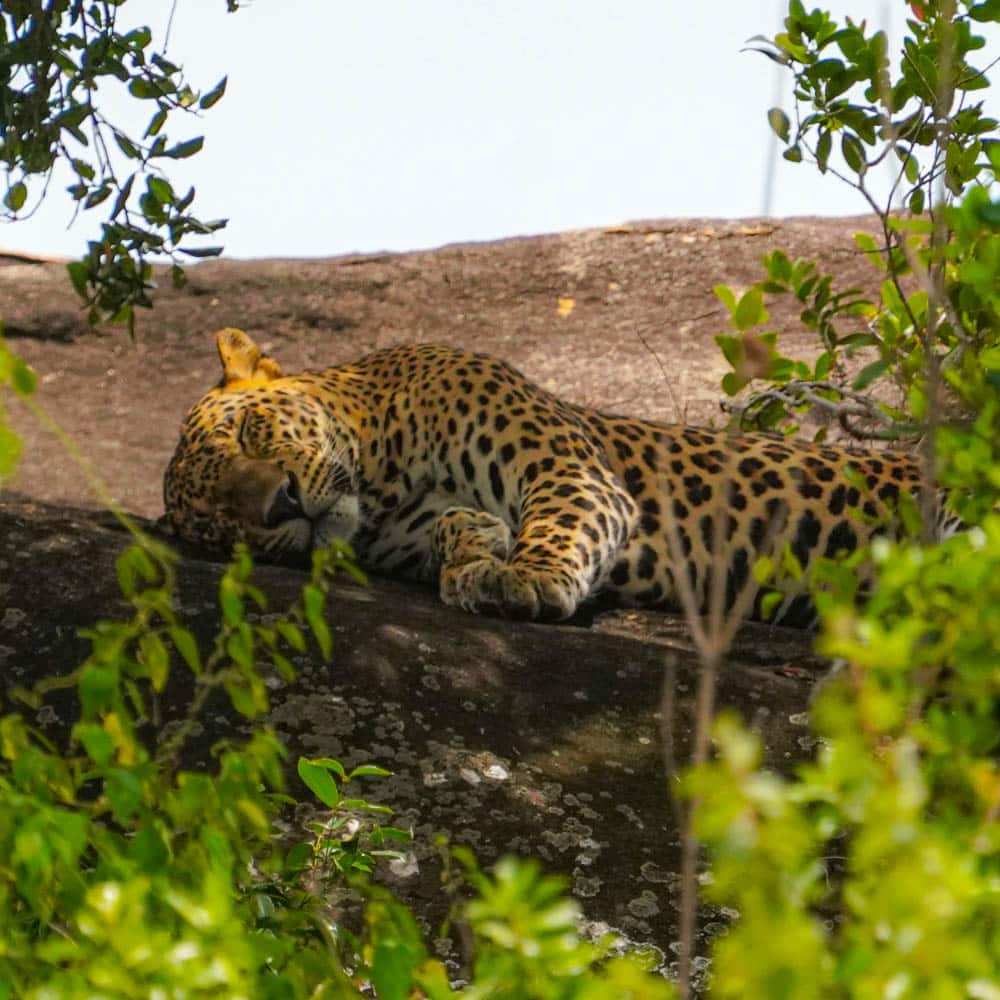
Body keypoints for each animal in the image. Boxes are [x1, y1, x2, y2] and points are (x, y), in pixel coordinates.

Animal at [160, 328, 956, 624]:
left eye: (249, 431)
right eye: (222, 527)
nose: (281, 505)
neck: (381, 473)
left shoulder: (563, 464)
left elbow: (561, 520)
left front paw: (528, 577)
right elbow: (457, 528)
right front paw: (475, 554)